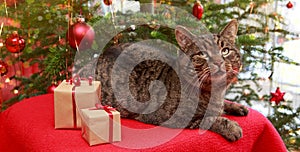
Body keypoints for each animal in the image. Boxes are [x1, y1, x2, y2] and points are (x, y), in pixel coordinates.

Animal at [96, 19, 248, 142]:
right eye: (203, 54)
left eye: (225, 51)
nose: (218, 62)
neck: (215, 93)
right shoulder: (171, 117)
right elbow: (207, 119)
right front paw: (231, 127)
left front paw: (236, 106)